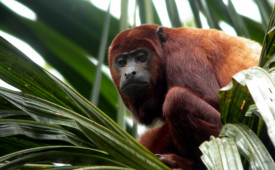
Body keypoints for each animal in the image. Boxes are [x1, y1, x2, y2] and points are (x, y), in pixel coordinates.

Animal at [108, 24, 260, 169]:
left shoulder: (182, 54)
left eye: (141, 57)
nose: (129, 73)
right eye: (121, 62)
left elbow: (214, 101)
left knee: (177, 98)